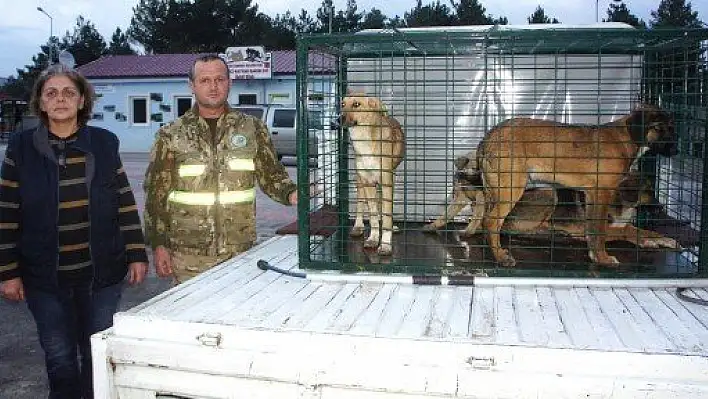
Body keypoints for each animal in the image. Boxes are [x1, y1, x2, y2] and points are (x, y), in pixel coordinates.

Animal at [342, 95, 404, 255]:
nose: (337, 119)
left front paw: (386, 244)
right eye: (342, 104)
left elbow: (387, 214)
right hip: (360, 182)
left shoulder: (387, 181)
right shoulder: (368, 182)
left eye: (356, 104)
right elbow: (373, 215)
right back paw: (358, 226)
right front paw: (374, 238)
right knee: (360, 203)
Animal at [472, 104, 676, 268]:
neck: (625, 139)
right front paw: (604, 259)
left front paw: (596, 256)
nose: (677, 150)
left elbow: (593, 232)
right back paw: (500, 257)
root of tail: (486, 139)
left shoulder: (592, 195)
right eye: (658, 127)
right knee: (491, 221)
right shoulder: (603, 193)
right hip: (514, 189)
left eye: (672, 128)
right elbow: (601, 231)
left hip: (497, 190)